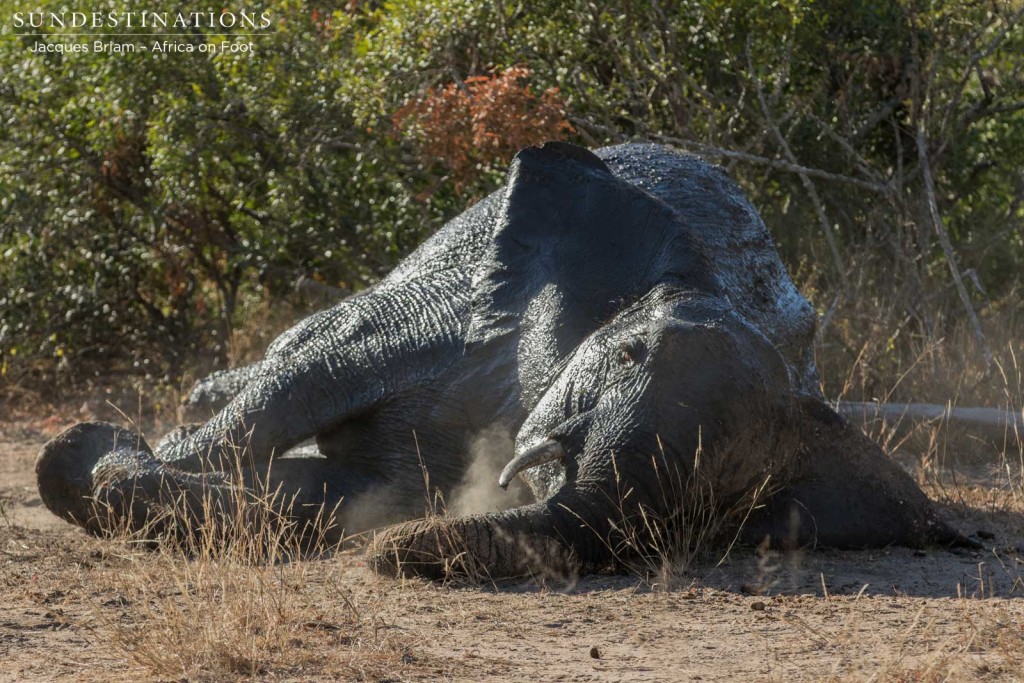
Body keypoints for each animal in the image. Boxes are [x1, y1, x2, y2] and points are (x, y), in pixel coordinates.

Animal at [34, 141, 966, 581]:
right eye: (627, 349)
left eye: (734, 499)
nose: (395, 557)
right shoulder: (453, 317)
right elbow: (309, 381)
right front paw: (96, 450)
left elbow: (343, 495)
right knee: (290, 355)